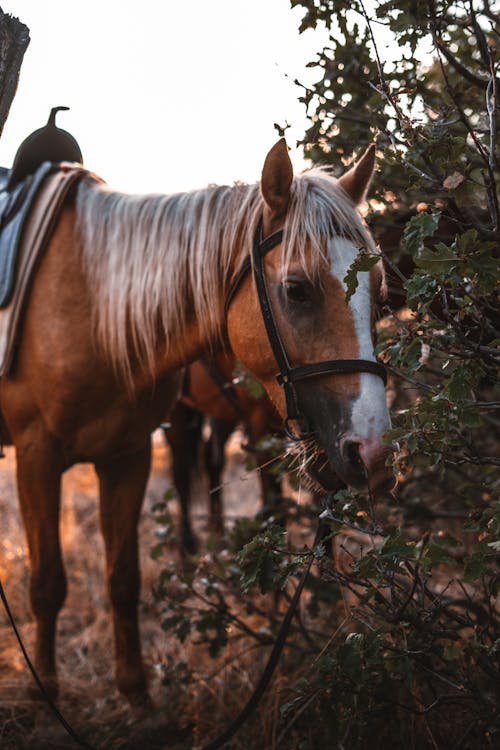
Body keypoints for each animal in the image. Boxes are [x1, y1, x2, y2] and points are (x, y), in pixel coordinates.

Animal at [0, 140, 390, 704]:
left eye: (378, 293)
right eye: (296, 289)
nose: (374, 450)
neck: (90, 304)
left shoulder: (128, 455)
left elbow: (124, 577)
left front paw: (136, 692)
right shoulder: (37, 458)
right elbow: (48, 582)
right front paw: (46, 690)